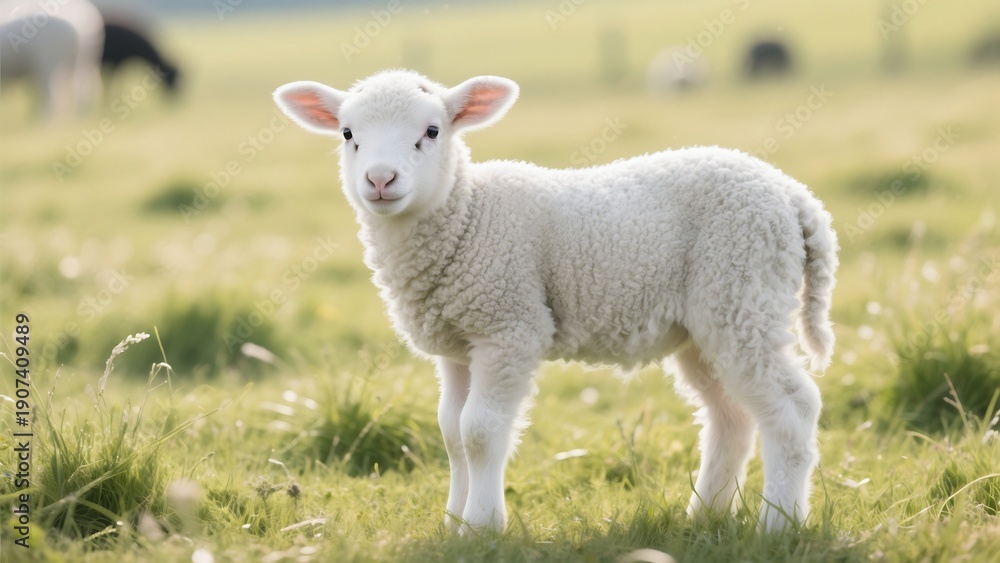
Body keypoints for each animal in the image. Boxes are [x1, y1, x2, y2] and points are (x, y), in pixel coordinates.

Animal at [273, 70, 838, 533]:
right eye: (348, 134)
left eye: (432, 132)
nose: (380, 179)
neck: (468, 214)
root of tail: (795, 197)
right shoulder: (457, 345)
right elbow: (451, 434)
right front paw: (453, 521)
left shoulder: (508, 325)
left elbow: (480, 432)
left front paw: (481, 526)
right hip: (705, 325)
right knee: (731, 418)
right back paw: (704, 516)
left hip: (743, 291)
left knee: (792, 408)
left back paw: (780, 524)